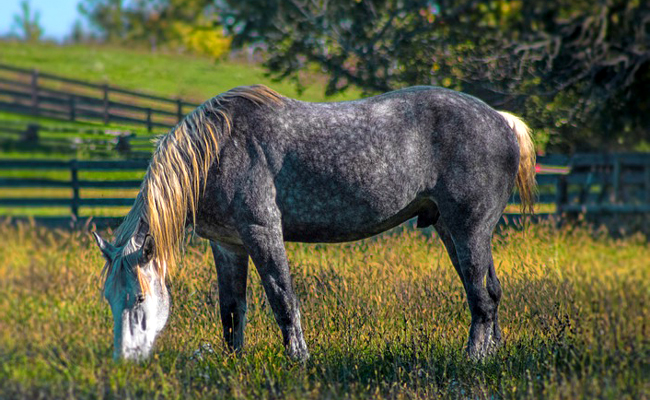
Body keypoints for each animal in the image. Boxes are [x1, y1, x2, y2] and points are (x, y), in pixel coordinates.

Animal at [93, 83, 536, 360]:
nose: (124, 362)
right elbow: (232, 309)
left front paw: (298, 359)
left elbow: (282, 299)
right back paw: (492, 354)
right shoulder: (228, 245)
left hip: (469, 229)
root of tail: (503, 120)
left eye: (139, 298)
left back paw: (473, 358)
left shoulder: (262, 233)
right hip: (453, 230)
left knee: (481, 298)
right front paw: (234, 362)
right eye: (109, 300)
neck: (217, 151)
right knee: (490, 292)